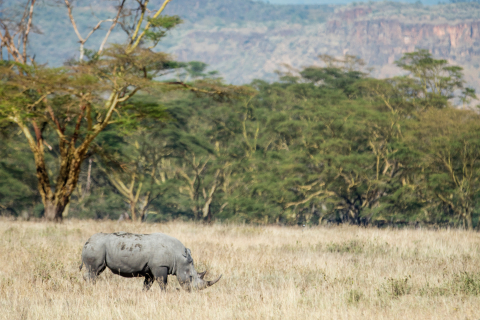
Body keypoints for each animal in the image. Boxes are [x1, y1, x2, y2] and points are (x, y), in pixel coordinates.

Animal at [79, 231, 221, 292]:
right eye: (191, 277)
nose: (193, 292)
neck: (179, 257)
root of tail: (87, 241)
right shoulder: (160, 266)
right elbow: (163, 283)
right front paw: (164, 294)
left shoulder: (150, 270)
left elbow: (147, 284)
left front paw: (144, 294)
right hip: (96, 247)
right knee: (94, 270)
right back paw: (92, 288)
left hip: (97, 247)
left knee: (97, 271)